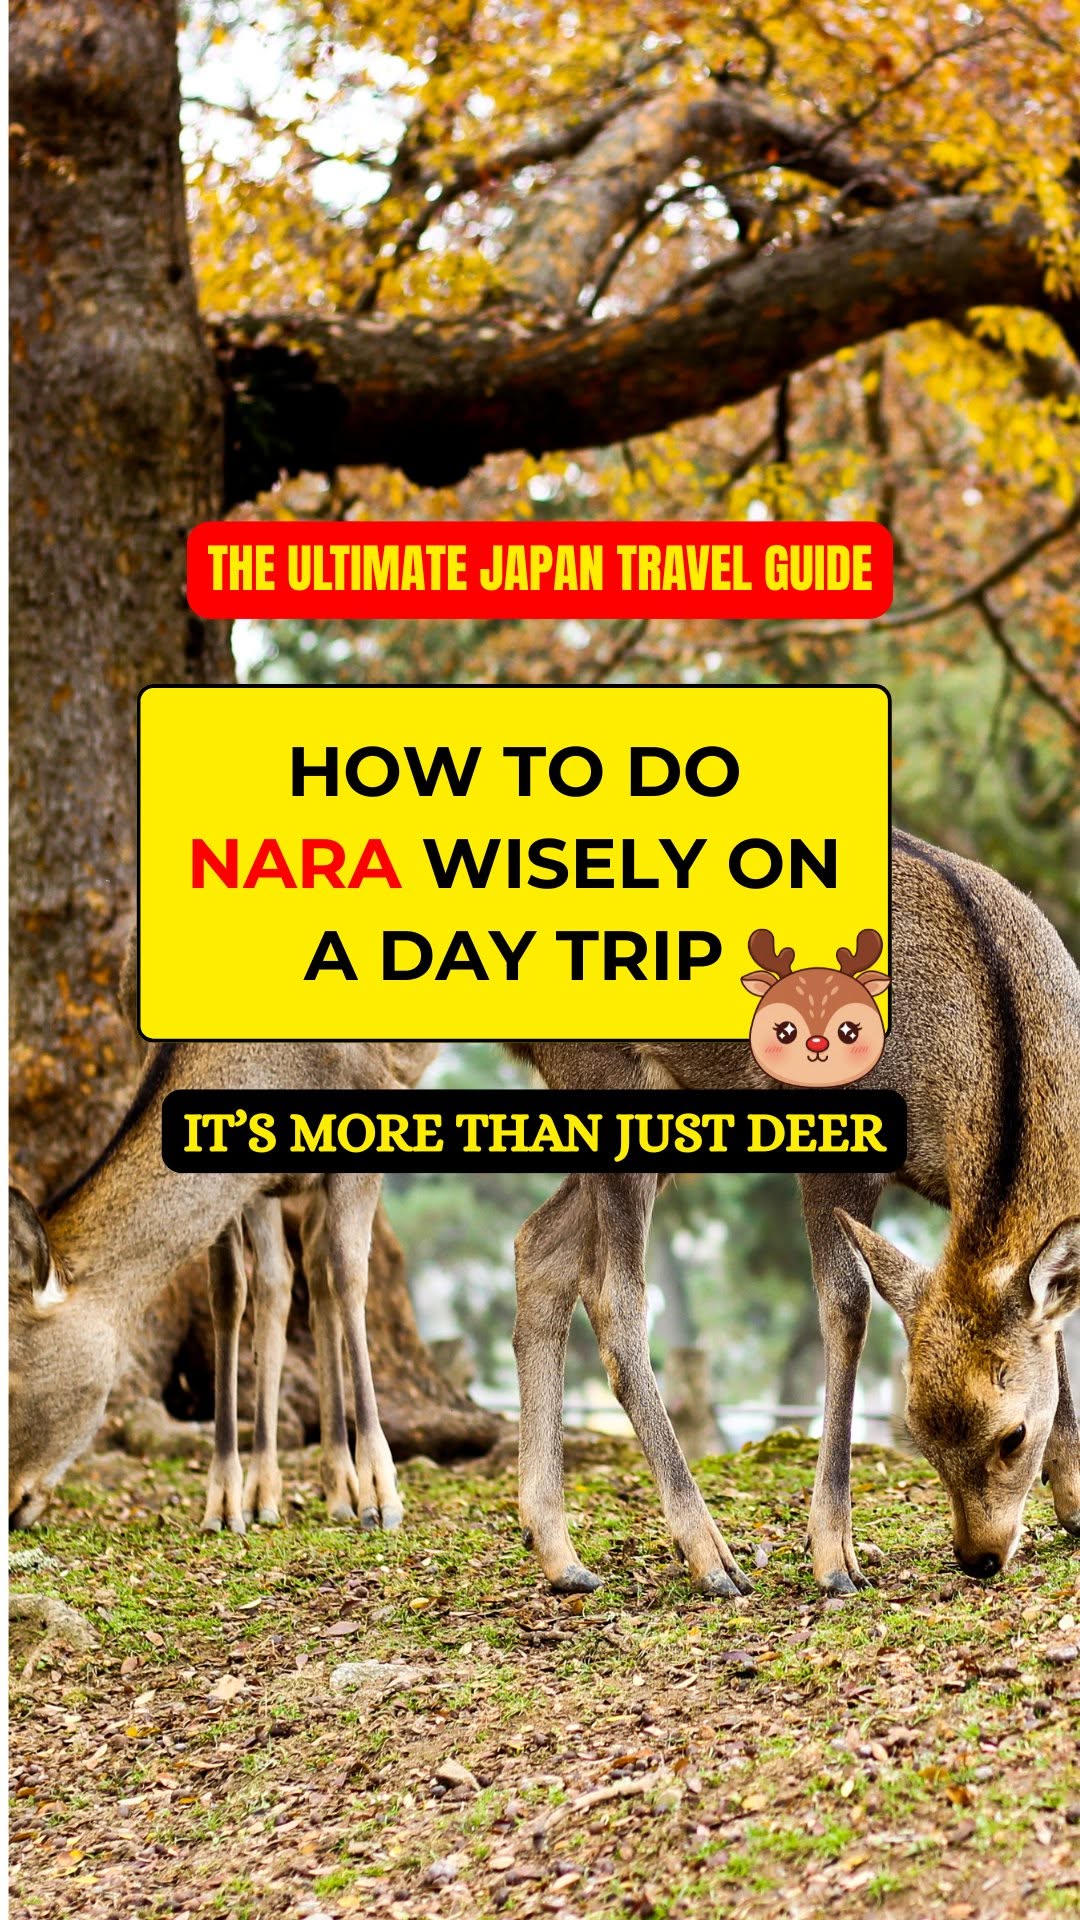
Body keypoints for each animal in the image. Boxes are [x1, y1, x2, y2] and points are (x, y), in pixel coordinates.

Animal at [9, 1036, 438, 1534]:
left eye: (9, 1374)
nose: (8, 1505)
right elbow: (232, 1289)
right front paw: (227, 1500)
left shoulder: (372, 1093)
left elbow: (348, 1274)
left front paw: (381, 1496)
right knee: (290, 1270)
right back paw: (296, 1489)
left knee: (320, 1266)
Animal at [508, 829, 1080, 1595]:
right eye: (918, 1431)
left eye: (1013, 1435)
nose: (980, 1557)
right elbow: (846, 1308)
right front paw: (834, 1556)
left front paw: (1074, 1499)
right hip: (607, 1074)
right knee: (612, 1292)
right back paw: (709, 1555)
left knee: (540, 1243)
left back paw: (562, 1555)